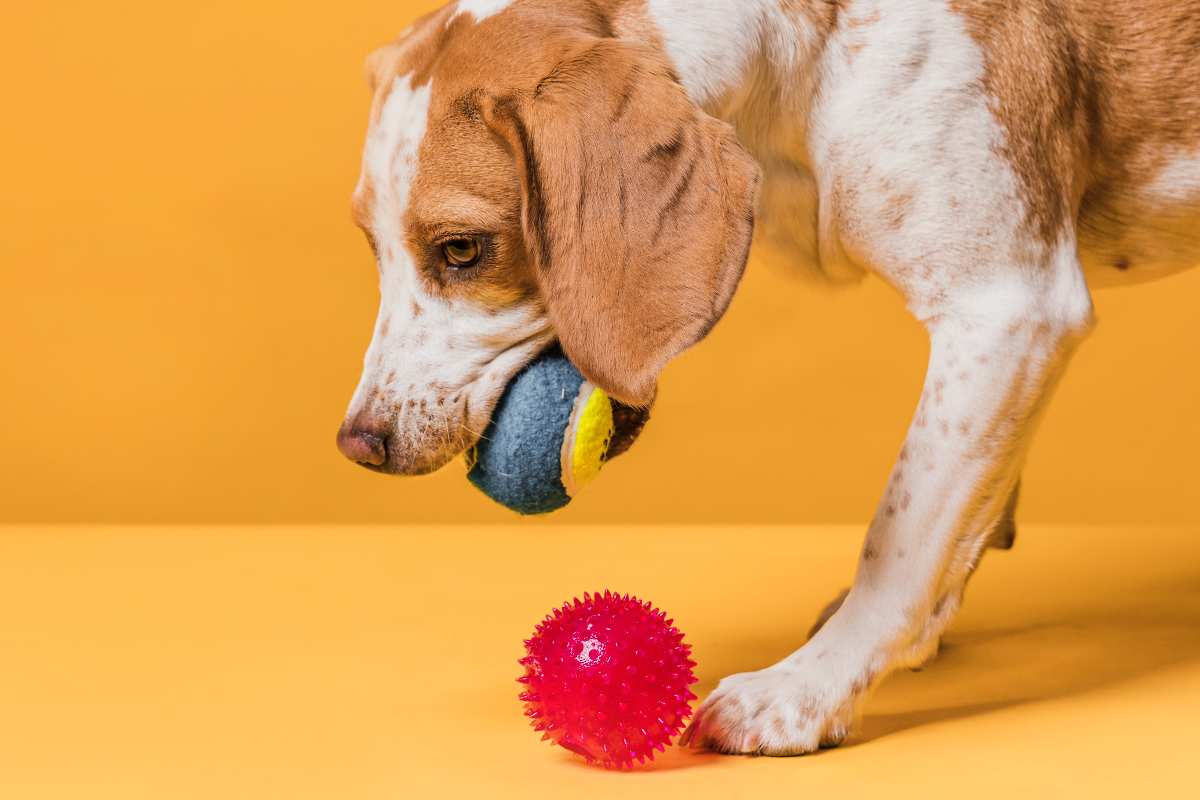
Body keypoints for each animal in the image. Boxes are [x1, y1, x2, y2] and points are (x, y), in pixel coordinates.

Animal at [336, 0, 1200, 753]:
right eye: (372, 247)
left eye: (461, 250)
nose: (358, 444)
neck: (808, 55)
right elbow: (961, 516)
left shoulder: (1007, 307)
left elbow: (900, 537)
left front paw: (809, 690)